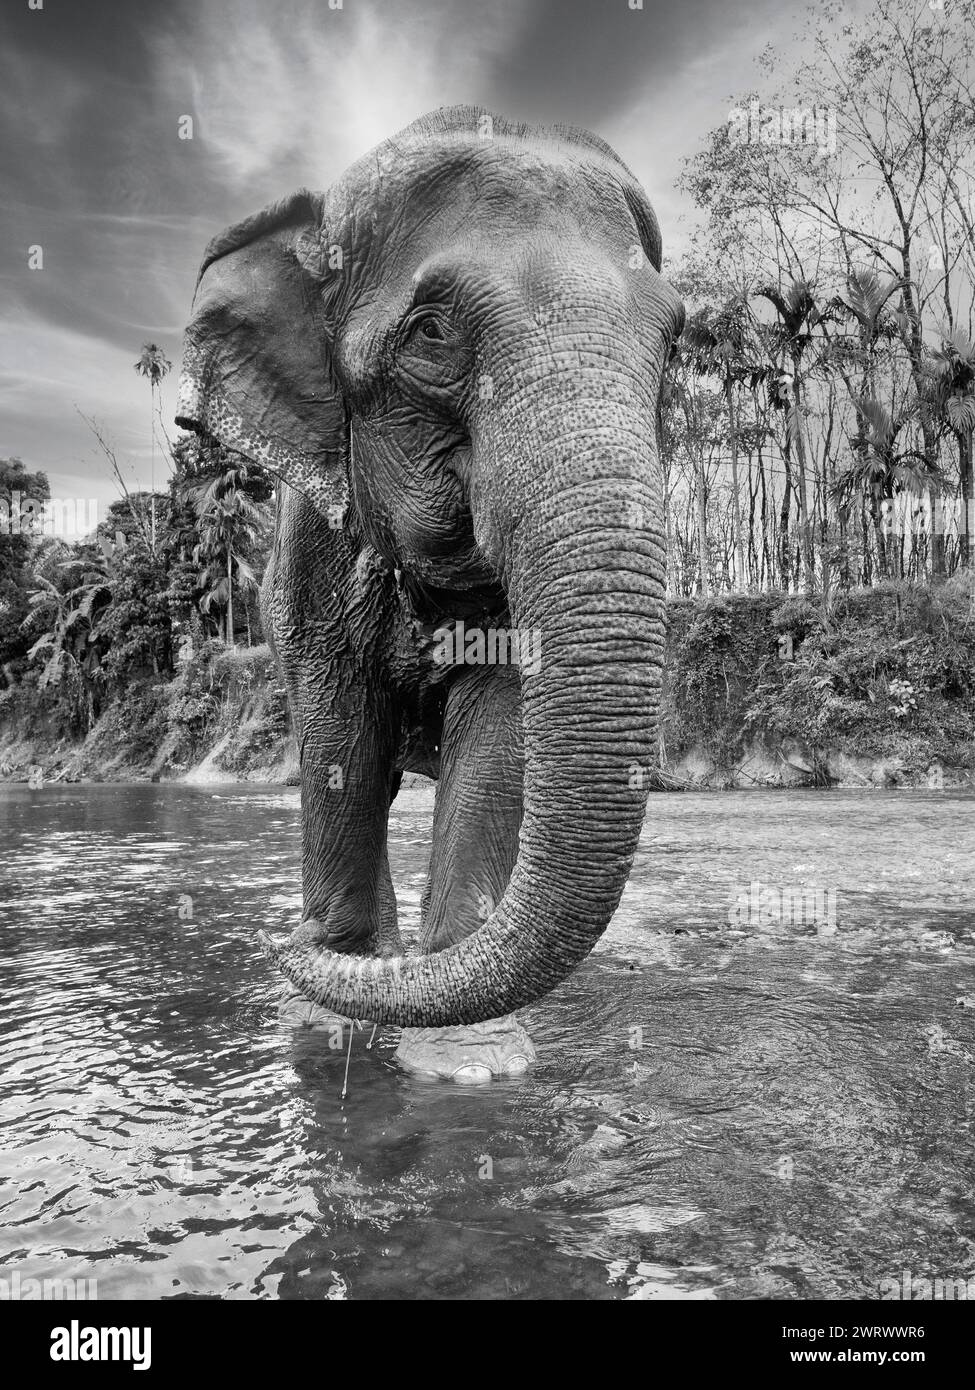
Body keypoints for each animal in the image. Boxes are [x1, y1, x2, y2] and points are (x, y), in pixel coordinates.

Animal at [179, 108, 684, 1061]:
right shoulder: (307, 559)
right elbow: (339, 729)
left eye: (673, 342)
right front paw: (330, 1003)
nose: (283, 946)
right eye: (432, 333)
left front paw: (467, 1059)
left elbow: (496, 727)